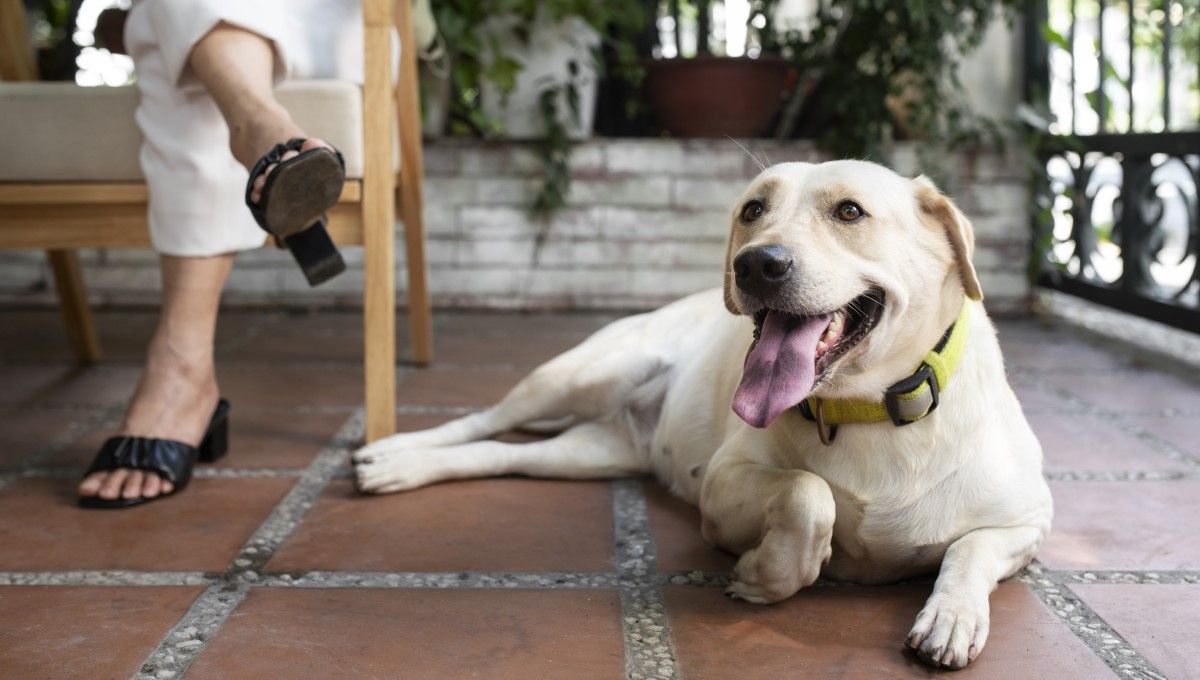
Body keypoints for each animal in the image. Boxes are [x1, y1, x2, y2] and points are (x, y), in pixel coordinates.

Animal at [352, 159, 1051, 671]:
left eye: (849, 211)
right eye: (752, 210)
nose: (757, 263)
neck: (864, 409)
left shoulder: (1029, 524)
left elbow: (970, 550)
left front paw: (953, 616)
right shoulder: (721, 488)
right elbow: (809, 493)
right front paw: (764, 575)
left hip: (583, 453)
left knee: (504, 455)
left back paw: (403, 468)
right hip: (579, 375)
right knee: (483, 422)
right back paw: (392, 454)